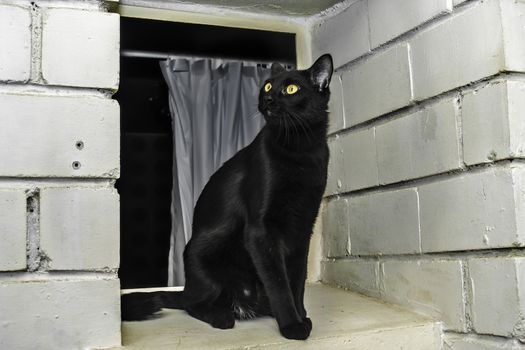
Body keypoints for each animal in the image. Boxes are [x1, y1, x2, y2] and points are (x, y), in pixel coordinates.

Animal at [121, 54, 332, 342]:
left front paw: (302, 316)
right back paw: (221, 316)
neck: (301, 150)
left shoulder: (302, 229)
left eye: (291, 89)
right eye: (267, 86)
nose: (268, 99)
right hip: (202, 257)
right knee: (191, 303)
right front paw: (292, 325)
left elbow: (296, 281)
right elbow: (279, 284)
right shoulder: (261, 231)